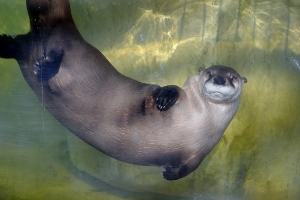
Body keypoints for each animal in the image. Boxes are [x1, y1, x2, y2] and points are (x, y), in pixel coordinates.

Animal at [0, 0, 247, 180]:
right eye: (209, 73)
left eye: (233, 77)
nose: (219, 79)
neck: (195, 121)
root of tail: (65, 25)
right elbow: (169, 90)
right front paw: (165, 98)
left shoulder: (200, 151)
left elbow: (190, 168)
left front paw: (170, 173)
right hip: (72, 48)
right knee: (56, 50)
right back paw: (45, 67)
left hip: (31, 49)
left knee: (21, 46)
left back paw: (8, 45)